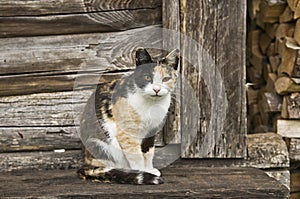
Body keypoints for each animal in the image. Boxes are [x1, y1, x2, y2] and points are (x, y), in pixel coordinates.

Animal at [77, 48, 179, 185]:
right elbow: (135, 154)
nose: (156, 89)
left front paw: (149, 169)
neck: (151, 106)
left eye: (166, 78)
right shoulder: (127, 132)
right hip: (103, 144)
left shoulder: (151, 131)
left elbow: (148, 152)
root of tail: (85, 161)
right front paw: (142, 171)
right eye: (147, 77)